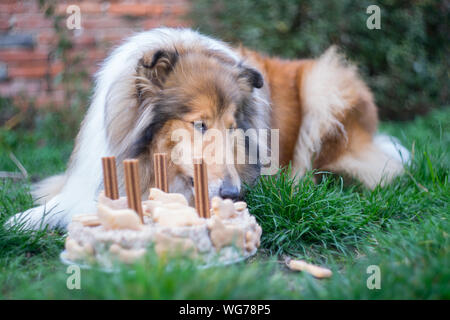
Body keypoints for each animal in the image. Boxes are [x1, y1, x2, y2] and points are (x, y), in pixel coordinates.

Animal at [7, 26, 408, 229]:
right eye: (199, 124)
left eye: (233, 127)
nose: (232, 194)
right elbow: (61, 204)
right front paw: (19, 221)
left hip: (324, 84)